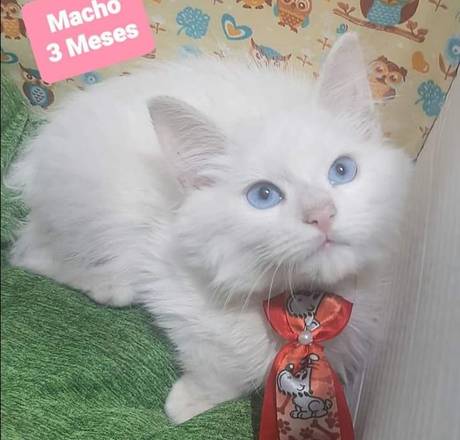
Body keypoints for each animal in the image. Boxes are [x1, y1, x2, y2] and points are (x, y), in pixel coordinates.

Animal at [6, 34, 412, 424]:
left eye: (342, 170)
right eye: (263, 195)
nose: (322, 214)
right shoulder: (161, 265)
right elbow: (221, 356)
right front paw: (187, 401)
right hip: (97, 211)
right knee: (28, 253)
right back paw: (107, 284)